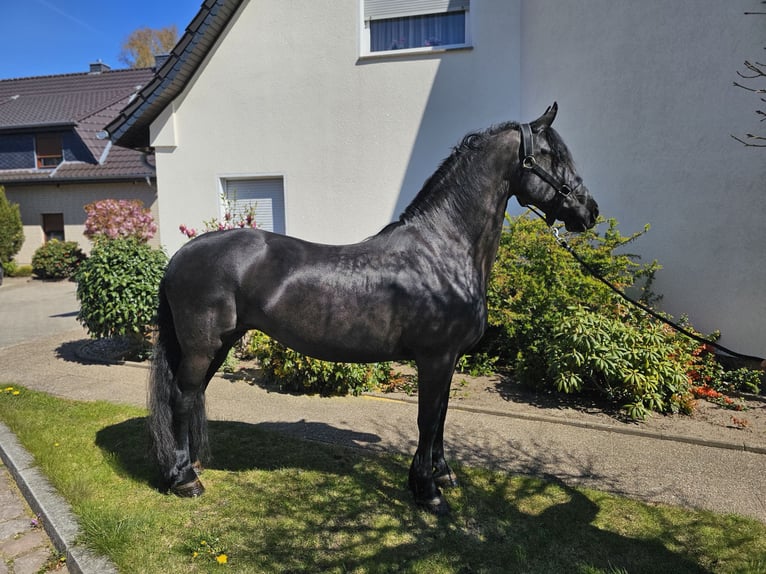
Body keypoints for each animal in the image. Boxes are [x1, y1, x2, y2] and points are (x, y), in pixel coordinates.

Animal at [148, 103, 599, 515]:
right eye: (551, 155)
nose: (589, 210)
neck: (443, 249)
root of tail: (180, 257)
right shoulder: (434, 358)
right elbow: (427, 420)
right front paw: (427, 491)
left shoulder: (448, 360)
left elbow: (441, 417)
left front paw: (443, 476)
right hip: (203, 346)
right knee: (183, 398)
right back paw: (185, 480)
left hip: (218, 344)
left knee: (194, 396)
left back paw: (191, 465)